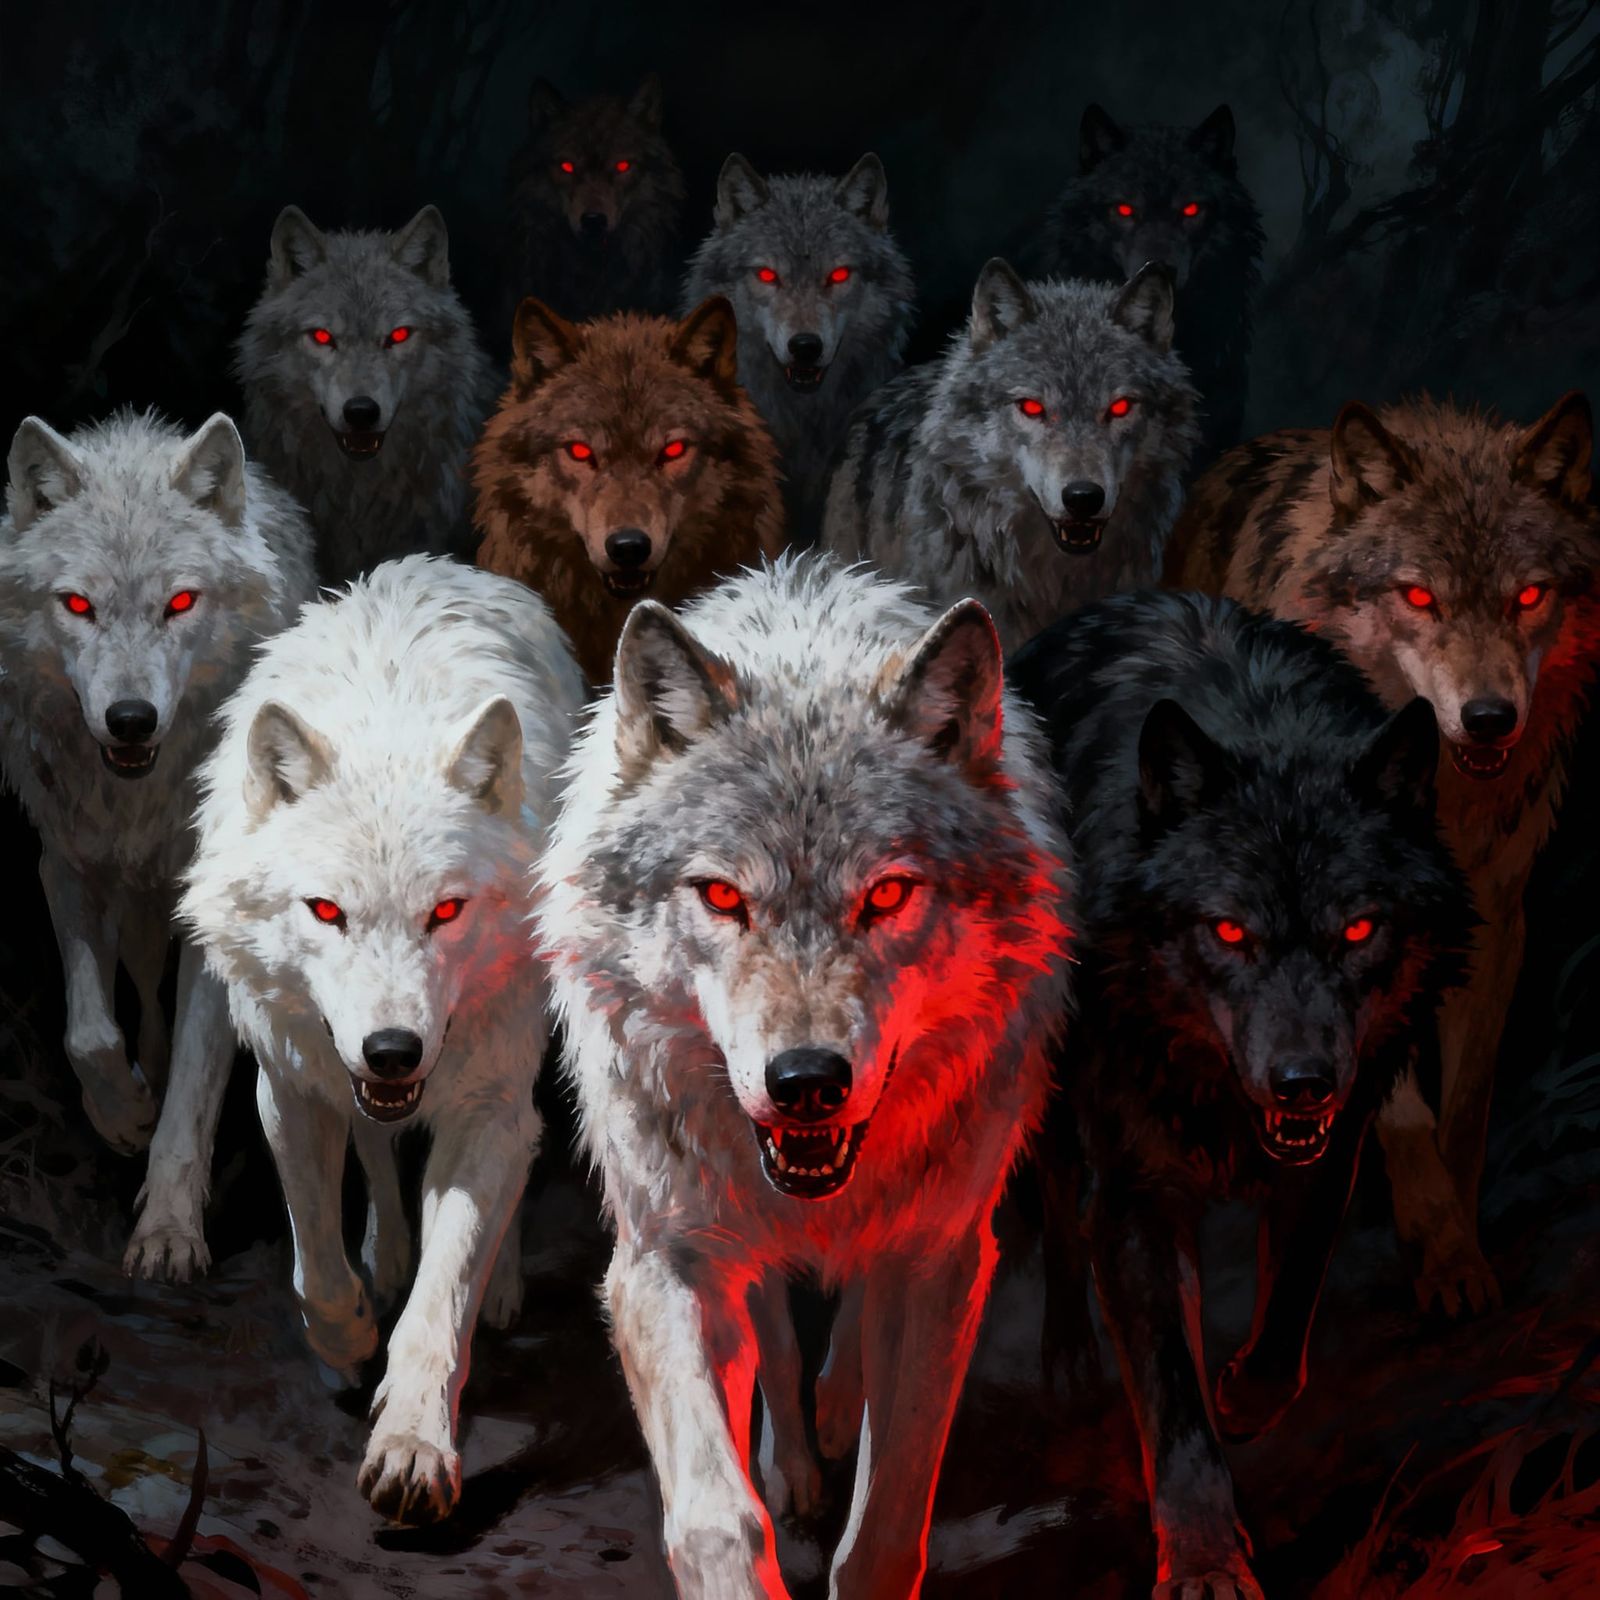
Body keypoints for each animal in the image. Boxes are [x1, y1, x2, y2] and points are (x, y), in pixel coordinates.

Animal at [0, 410, 313, 1198]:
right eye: (78, 605)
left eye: (180, 602)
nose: (131, 720)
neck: (135, 800)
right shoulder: (65, 862)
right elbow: (87, 1031)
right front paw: (118, 1113)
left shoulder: (220, 907)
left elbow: (196, 1089)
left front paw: (168, 1218)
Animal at [178, 556, 584, 1522]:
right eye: (326, 911)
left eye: (447, 911)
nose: (394, 1049)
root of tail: (432, 564)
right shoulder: (289, 1084)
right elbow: (315, 1265)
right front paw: (351, 1332)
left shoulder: (485, 1101)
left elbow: (442, 1300)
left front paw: (412, 1444)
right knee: (374, 1151)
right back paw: (385, 1255)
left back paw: (498, 1285)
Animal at [539, 554, 1072, 1597]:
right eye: (720, 896)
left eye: (888, 894)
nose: (806, 1081)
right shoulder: (666, 1259)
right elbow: (715, 1514)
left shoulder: (943, 1257)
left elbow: (889, 1519)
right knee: (778, 1342)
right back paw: (794, 1457)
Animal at [1009, 589, 1471, 1600]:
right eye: (1229, 932)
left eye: (1358, 930)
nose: (1302, 1081)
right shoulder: (1135, 1201)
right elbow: (1172, 1404)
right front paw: (1203, 1559)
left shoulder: (1332, 1150)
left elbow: (1286, 1312)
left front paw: (1246, 1400)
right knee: (1056, 1207)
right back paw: (1064, 1359)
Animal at [1165, 392, 1600, 1319]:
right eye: (1419, 596)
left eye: (1528, 596)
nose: (1489, 718)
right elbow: (1400, 1108)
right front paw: (1434, 1238)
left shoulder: (1497, 924)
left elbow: (1465, 1109)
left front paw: (1456, 1246)